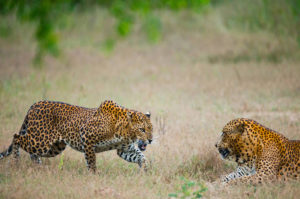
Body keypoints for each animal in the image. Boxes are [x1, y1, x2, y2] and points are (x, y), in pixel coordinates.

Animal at [0, 100, 154, 172]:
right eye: (142, 129)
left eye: (151, 129)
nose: (151, 140)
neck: (125, 132)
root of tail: (34, 104)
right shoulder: (86, 137)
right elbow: (91, 161)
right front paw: (93, 176)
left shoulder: (124, 149)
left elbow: (140, 156)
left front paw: (145, 169)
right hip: (41, 140)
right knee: (16, 137)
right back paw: (15, 162)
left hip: (54, 147)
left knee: (32, 153)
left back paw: (38, 167)